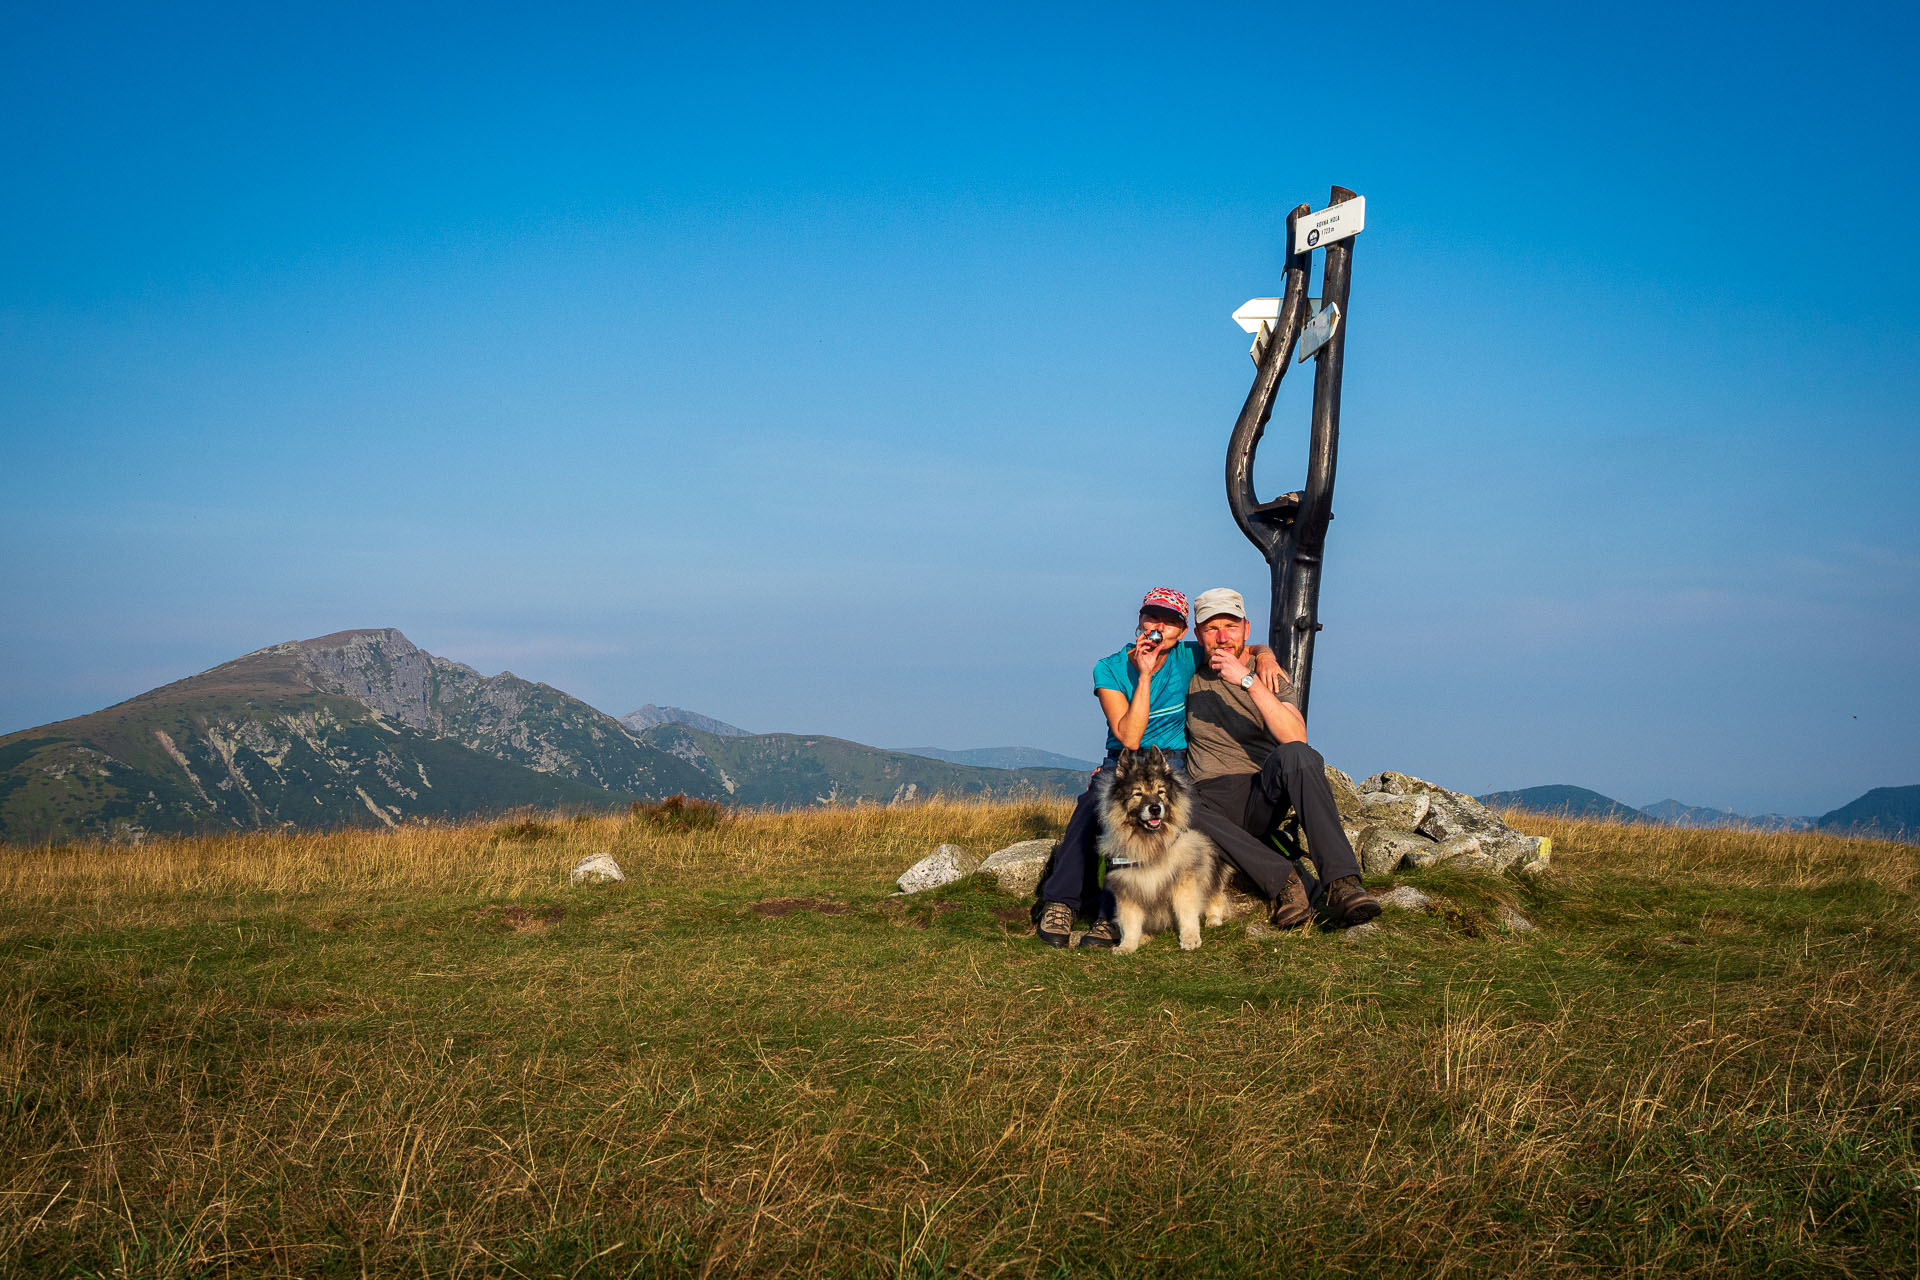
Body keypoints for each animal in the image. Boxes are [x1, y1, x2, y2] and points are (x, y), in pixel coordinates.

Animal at [1098, 752, 1228, 951]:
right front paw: (1127, 946)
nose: (1155, 808)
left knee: (1216, 897)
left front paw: (1190, 938)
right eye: (1138, 793)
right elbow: (1129, 923)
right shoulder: (1128, 890)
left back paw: (1213, 919)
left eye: (1160, 791)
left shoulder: (1183, 882)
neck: (1151, 845)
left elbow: (1187, 913)